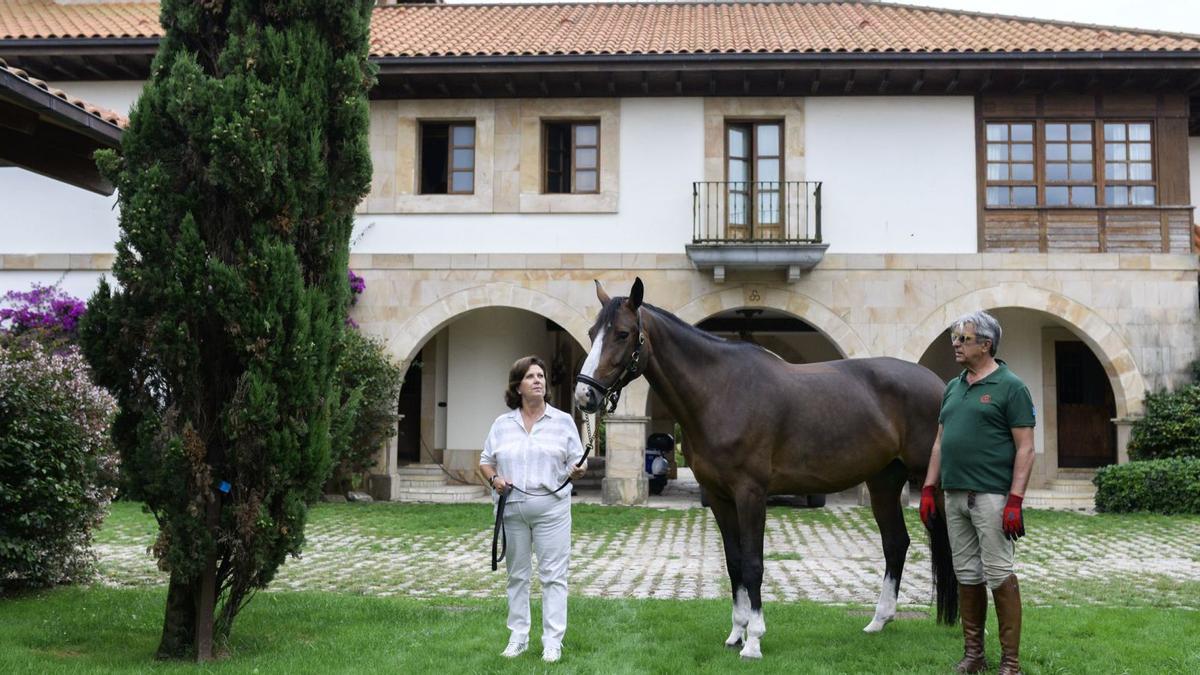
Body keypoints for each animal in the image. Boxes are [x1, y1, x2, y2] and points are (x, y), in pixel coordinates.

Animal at [571, 277, 955, 658]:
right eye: (591, 332)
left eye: (622, 333)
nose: (584, 396)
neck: (721, 392)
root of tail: (941, 384)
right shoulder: (719, 496)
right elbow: (734, 562)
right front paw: (736, 633)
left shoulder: (750, 493)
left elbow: (753, 563)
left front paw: (754, 640)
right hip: (883, 482)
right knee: (895, 543)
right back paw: (878, 621)